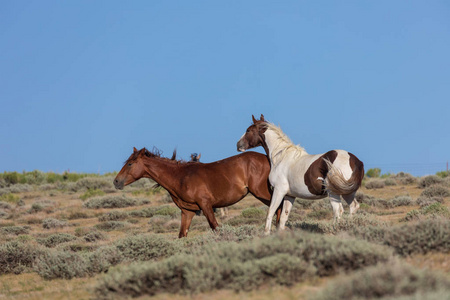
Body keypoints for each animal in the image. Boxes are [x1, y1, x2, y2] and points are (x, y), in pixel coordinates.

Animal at [114, 147, 280, 237]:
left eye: (130, 164)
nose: (116, 182)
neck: (180, 177)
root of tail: (268, 158)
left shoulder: (206, 206)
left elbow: (215, 228)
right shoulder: (187, 211)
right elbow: (182, 234)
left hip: (262, 192)